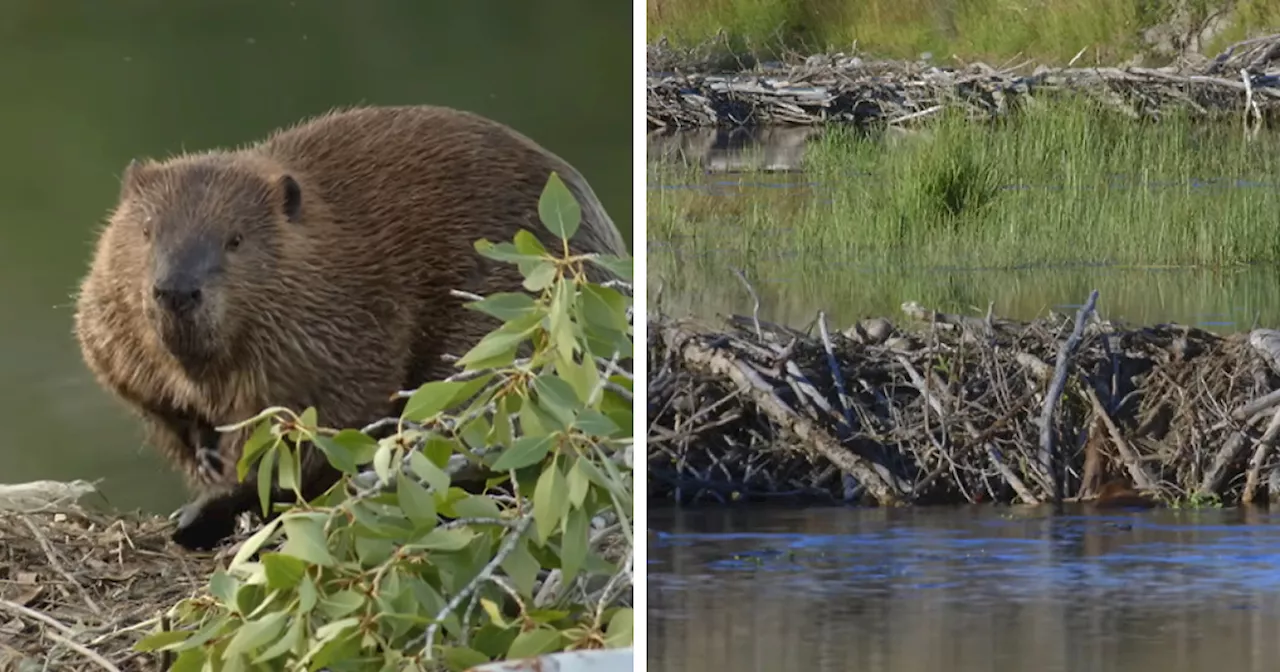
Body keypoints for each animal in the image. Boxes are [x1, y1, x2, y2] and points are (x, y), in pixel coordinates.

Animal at [72, 103, 627, 545]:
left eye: (235, 239)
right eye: (147, 231)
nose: (176, 290)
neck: (327, 244)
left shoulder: (351, 323)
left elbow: (330, 425)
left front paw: (214, 497)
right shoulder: (113, 328)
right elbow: (148, 395)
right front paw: (205, 455)